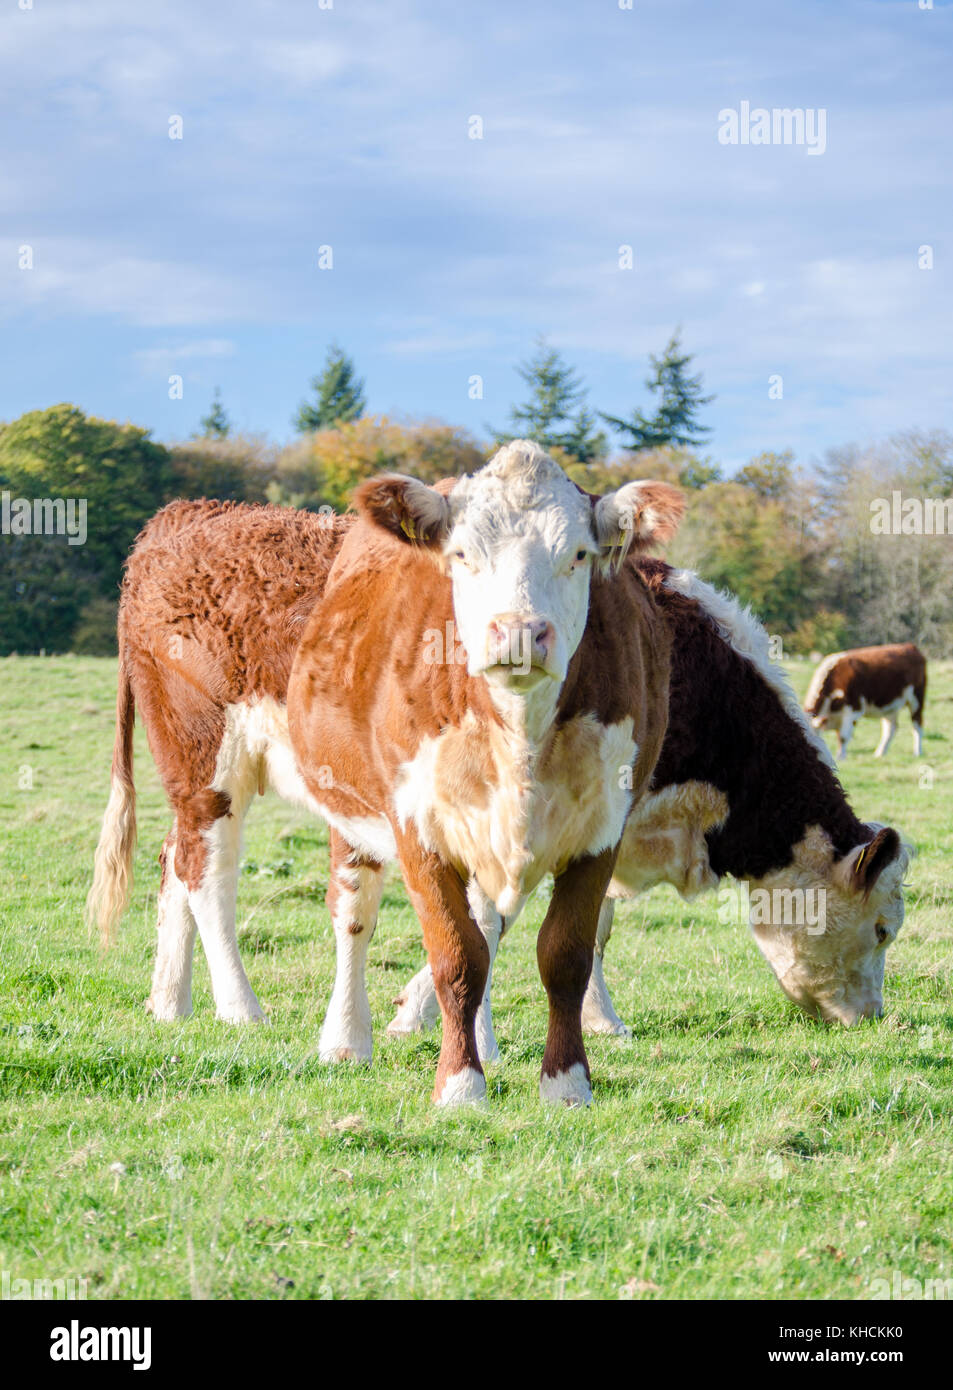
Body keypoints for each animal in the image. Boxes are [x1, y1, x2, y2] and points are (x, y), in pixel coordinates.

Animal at [88, 442, 683, 1108]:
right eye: (461, 555)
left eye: (579, 554)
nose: (518, 633)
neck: (518, 733)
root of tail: (186, 514)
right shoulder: (418, 822)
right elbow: (459, 954)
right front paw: (461, 1086)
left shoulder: (601, 825)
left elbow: (562, 954)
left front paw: (566, 1085)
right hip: (203, 758)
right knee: (205, 872)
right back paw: (241, 1006)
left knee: (185, 861)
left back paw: (173, 1001)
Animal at [388, 559, 912, 1046]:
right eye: (883, 930)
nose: (873, 1016)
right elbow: (491, 919)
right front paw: (423, 1016)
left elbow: (592, 928)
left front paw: (601, 1019)